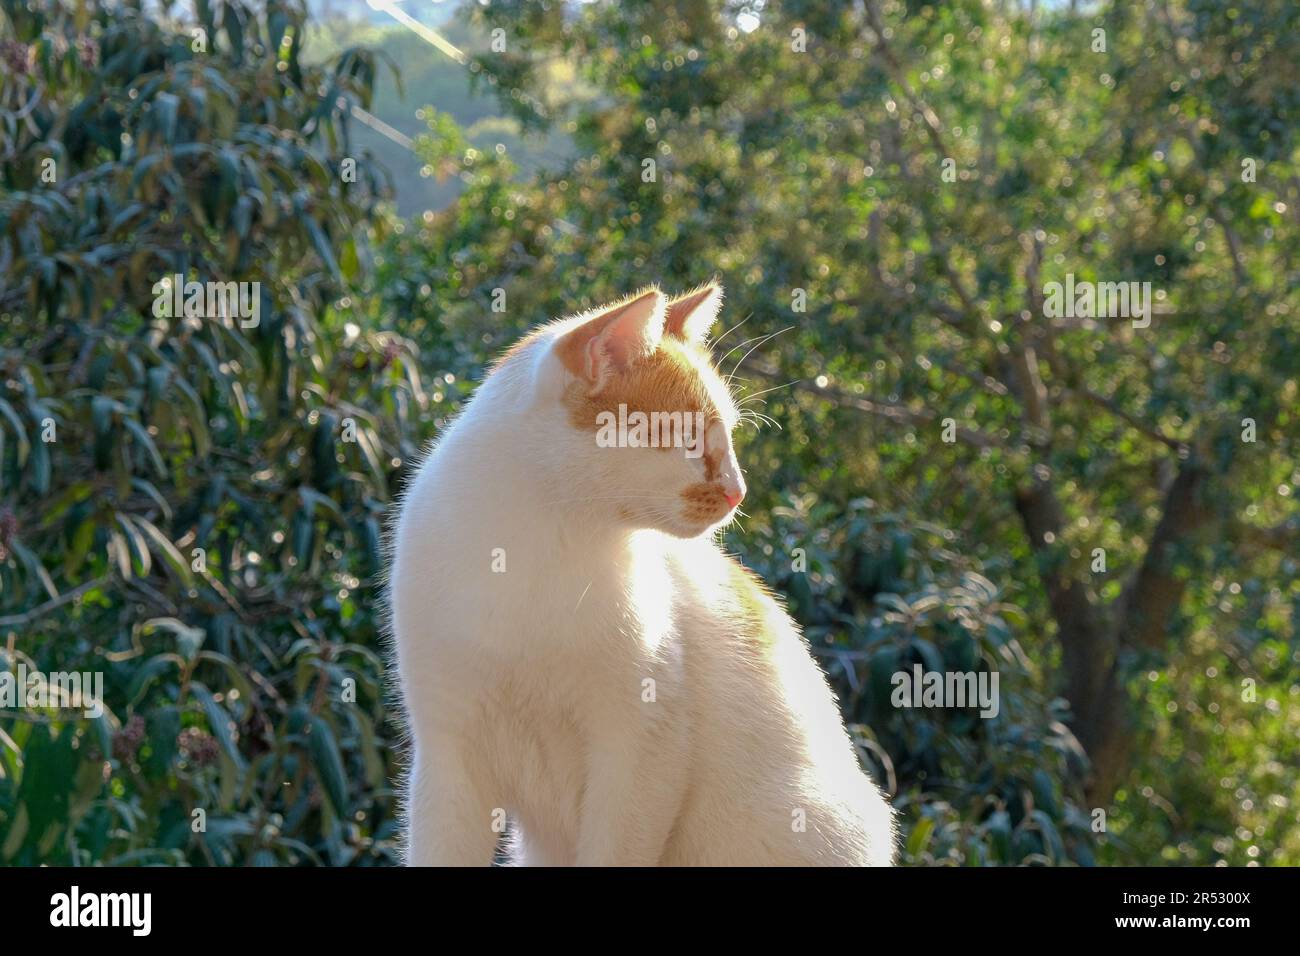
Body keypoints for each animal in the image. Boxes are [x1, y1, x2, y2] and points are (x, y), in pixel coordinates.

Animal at [384, 283, 894, 868]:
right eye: (691, 443)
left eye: (728, 438)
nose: (739, 492)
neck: (531, 555)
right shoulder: (448, 759)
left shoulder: (639, 757)